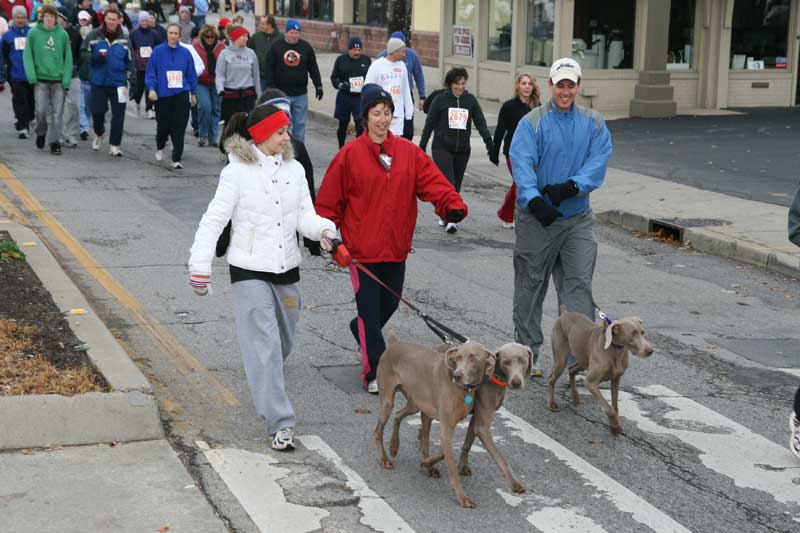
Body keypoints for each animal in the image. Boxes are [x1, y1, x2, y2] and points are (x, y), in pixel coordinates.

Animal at [374, 328, 494, 508]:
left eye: (473, 357)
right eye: (458, 357)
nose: (457, 375)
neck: (463, 390)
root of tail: (394, 344)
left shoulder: (441, 422)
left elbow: (436, 450)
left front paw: (426, 463)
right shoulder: (445, 427)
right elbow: (447, 460)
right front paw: (462, 497)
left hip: (416, 404)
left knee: (398, 415)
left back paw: (394, 446)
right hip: (388, 400)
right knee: (378, 430)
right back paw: (384, 458)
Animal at [422, 342, 536, 492]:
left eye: (523, 361)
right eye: (506, 362)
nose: (516, 382)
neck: (494, 378)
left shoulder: (476, 417)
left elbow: (467, 443)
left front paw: (462, 465)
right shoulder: (482, 425)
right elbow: (500, 456)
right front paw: (514, 483)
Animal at [548, 306, 652, 434]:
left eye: (643, 332)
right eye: (632, 334)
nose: (650, 351)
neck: (614, 350)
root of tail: (564, 313)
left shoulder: (616, 379)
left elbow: (615, 407)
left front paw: (616, 425)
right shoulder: (591, 383)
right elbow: (609, 408)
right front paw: (614, 426)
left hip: (584, 361)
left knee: (571, 369)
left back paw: (576, 397)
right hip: (561, 359)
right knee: (551, 379)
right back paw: (552, 404)